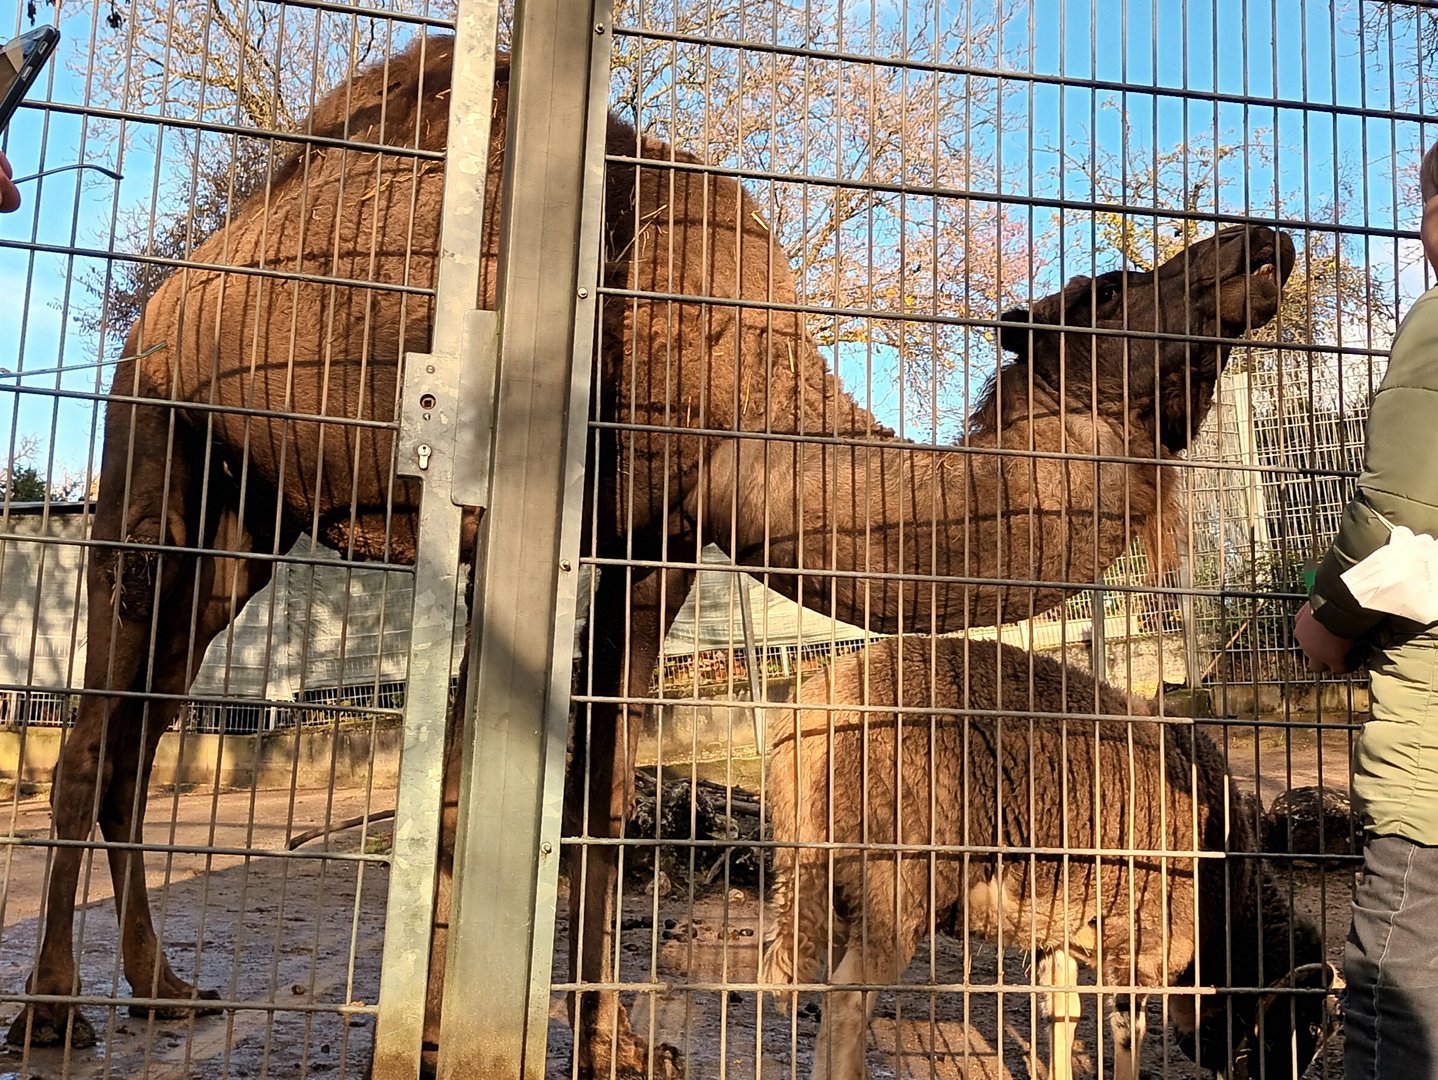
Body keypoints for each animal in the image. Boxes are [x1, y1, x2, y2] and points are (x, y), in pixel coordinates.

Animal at [761, 635, 1342, 1080]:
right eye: (1298, 1025)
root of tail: (803, 724)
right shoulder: (1144, 942)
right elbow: (1128, 1031)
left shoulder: (1056, 927)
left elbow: (1063, 1014)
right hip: (894, 887)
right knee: (845, 1003)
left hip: (830, 890)